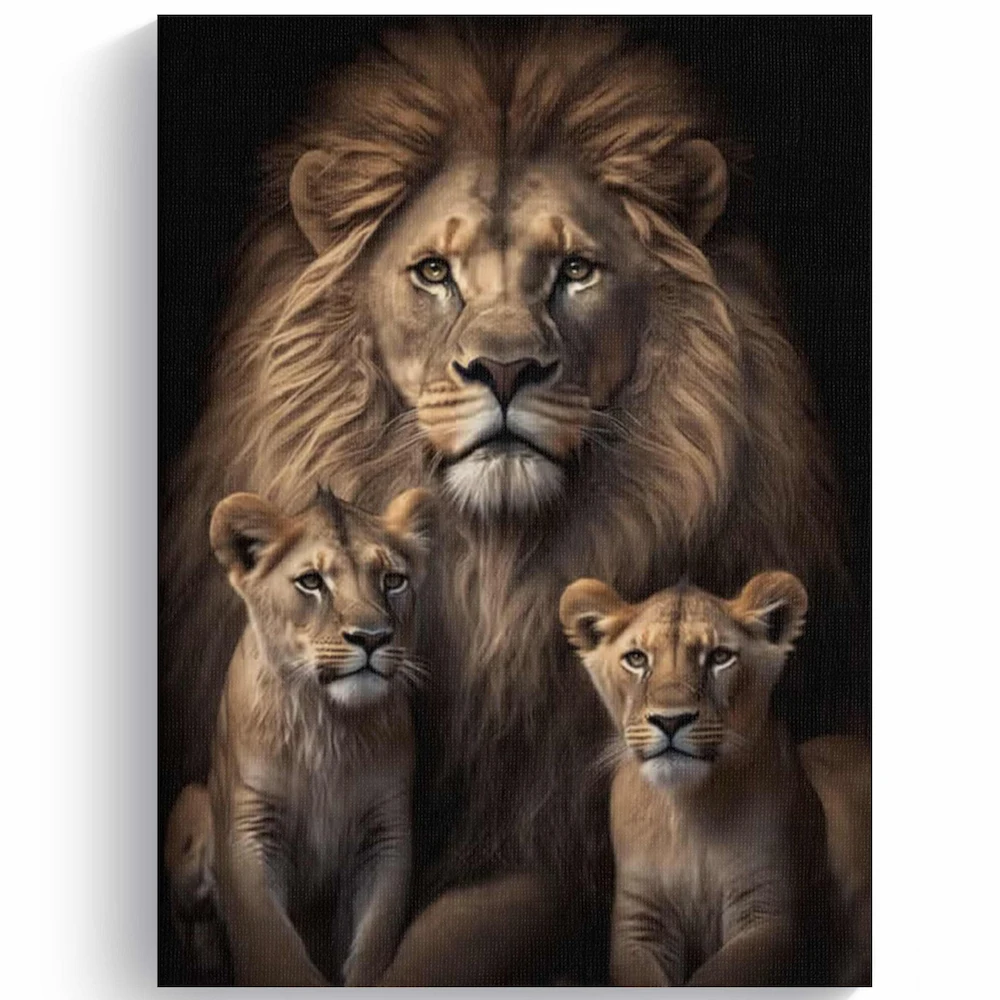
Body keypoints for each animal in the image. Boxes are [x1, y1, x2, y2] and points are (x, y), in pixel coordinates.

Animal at [191, 486, 433, 986]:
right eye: (311, 581)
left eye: (393, 580)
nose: (372, 637)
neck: (328, 726)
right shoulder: (247, 829)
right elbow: (275, 950)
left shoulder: (386, 833)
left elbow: (374, 943)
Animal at [560, 571, 869, 985]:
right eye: (637, 659)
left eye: (720, 657)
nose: (670, 720)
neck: (687, 811)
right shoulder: (639, 921)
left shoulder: (768, 912)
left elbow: (716, 977)